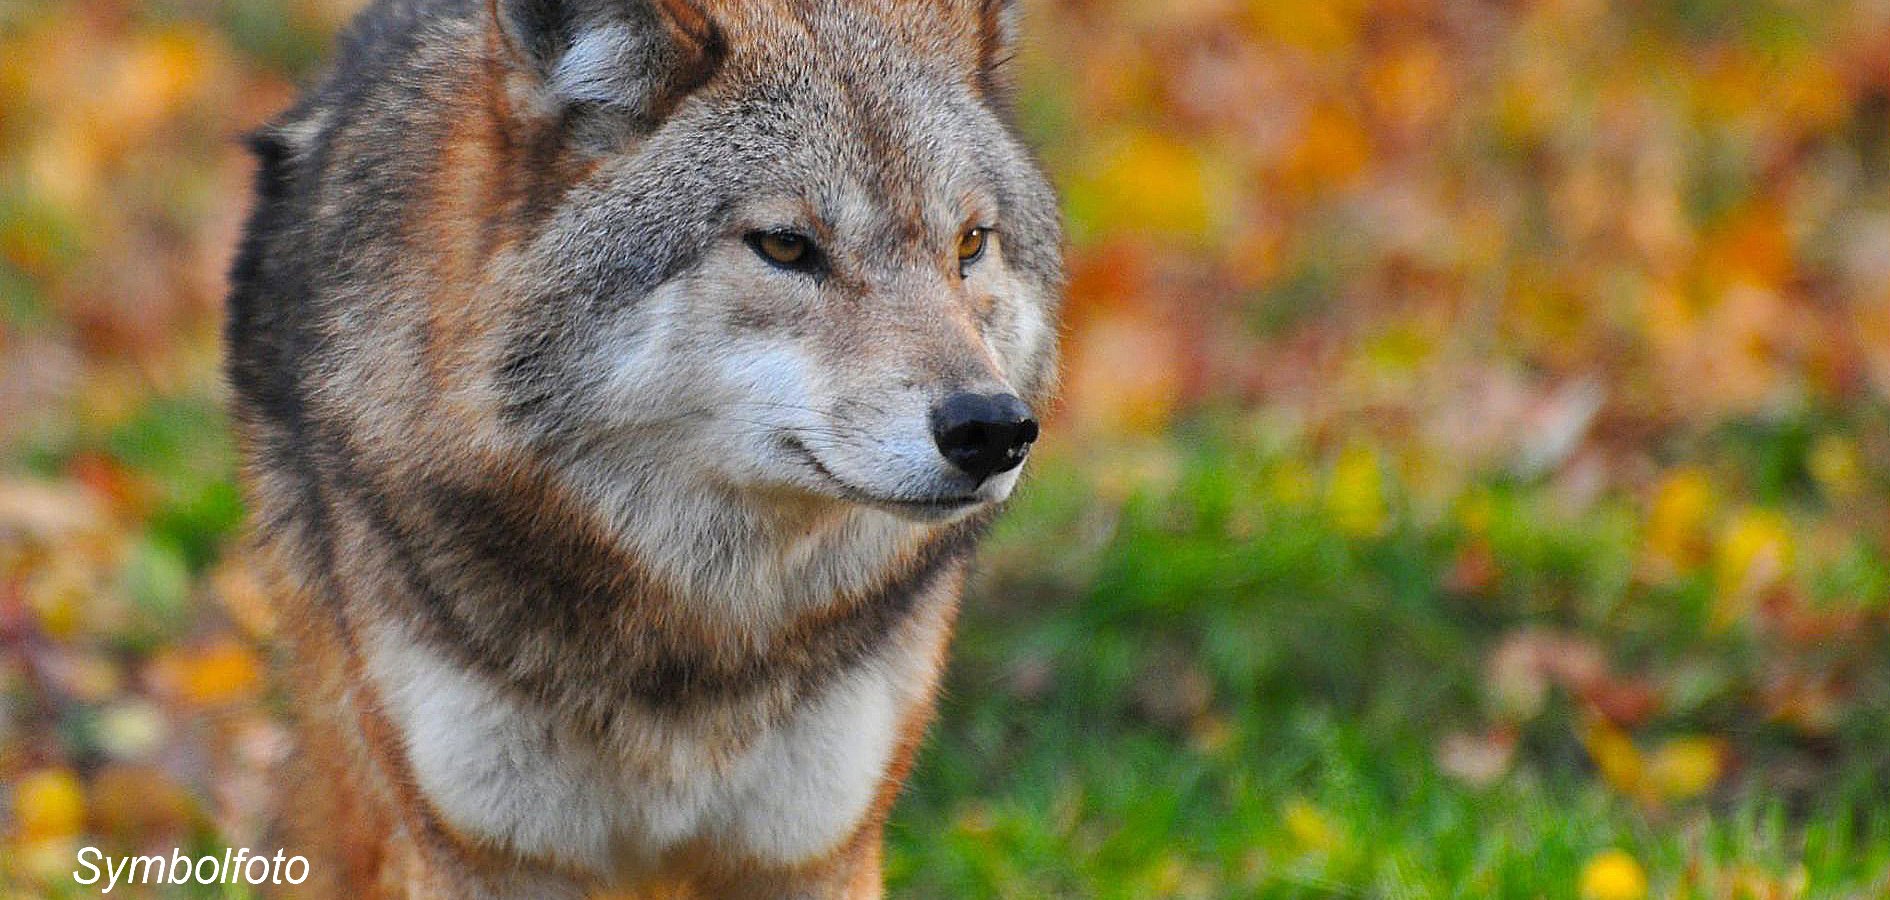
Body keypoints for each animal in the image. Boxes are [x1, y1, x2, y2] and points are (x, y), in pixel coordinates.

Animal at [223, 0, 1061, 895]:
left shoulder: (813, 849)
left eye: (970, 243)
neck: (694, 635)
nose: (992, 428)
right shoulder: (483, 853)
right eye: (785, 246)